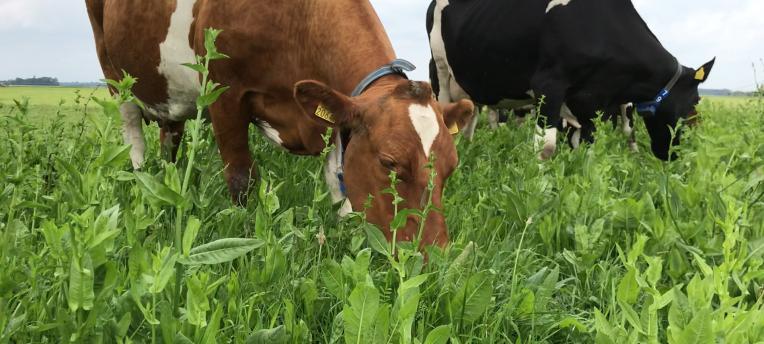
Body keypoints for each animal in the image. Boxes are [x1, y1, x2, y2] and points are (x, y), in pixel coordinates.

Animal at [86, 0, 474, 247]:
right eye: (389, 163)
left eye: (452, 167)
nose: (435, 254)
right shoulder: (223, 92)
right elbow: (241, 178)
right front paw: (244, 237)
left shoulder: (329, 115)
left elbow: (339, 185)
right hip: (113, 69)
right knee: (133, 133)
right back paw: (142, 182)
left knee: (171, 136)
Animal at [426, 0, 712, 160]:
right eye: (695, 102)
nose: (673, 156)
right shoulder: (548, 85)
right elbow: (546, 147)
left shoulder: (593, 103)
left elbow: (587, 146)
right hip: (440, 71)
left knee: (469, 120)